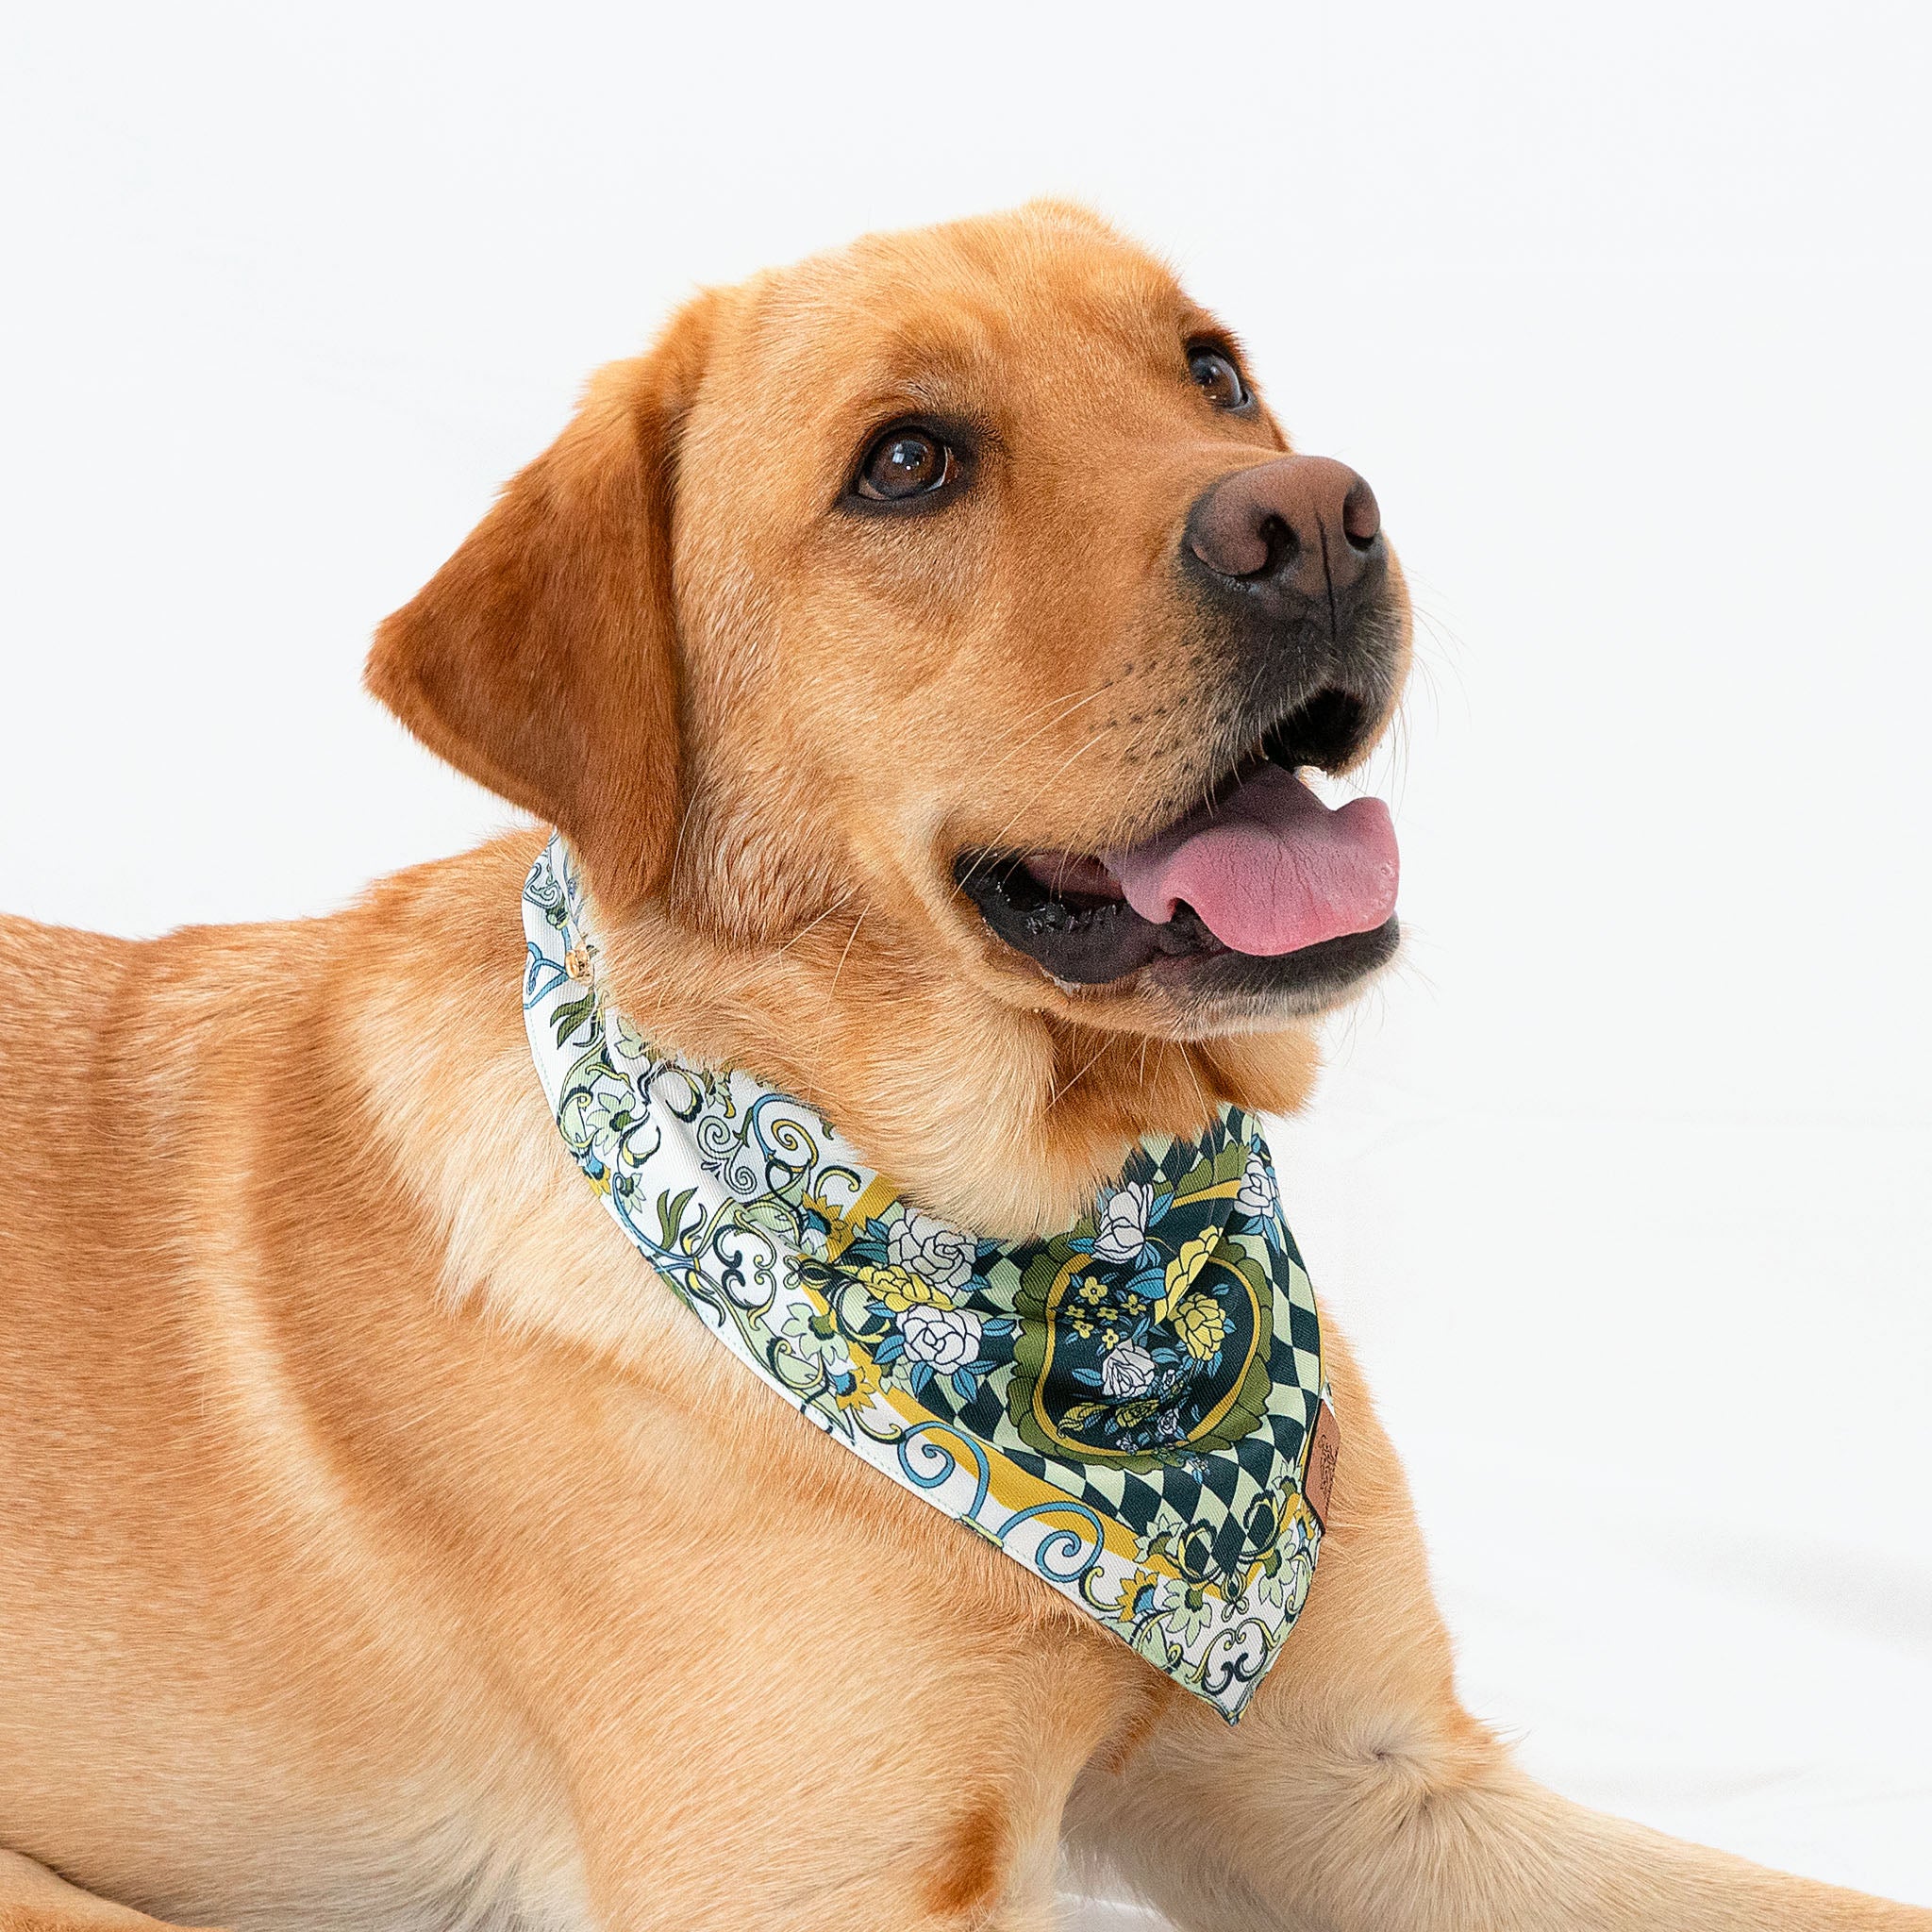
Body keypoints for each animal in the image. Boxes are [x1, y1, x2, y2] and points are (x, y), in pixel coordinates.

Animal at [8, 204, 1924, 1924]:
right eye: (908, 464)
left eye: (1211, 371)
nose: (1319, 521)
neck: (1068, 1221)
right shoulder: (820, 1888)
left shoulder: (1371, 1784)